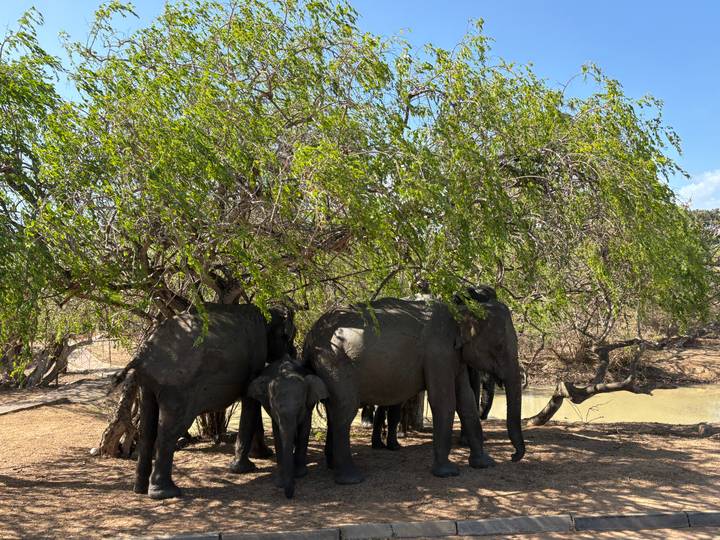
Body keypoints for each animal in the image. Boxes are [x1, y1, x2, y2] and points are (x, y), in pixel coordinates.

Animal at [111, 303, 296, 499]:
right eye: (289, 337)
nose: (293, 353)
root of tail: (143, 356)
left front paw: (262, 455)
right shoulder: (256, 353)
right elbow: (250, 402)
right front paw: (245, 468)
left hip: (147, 384)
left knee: (147, 430)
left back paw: (139, 489)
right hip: (177, 387)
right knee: (170, 430)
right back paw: (166, 493)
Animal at [247, 355, 328, 498]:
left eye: (300, 407)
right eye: (275, 408)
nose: (289, 494)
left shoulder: (308, 406)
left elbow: (304, 429)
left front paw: (300, 474)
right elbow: (278, 434)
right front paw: (280, 482)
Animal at [301, 286, 525, 484]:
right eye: (499, 346)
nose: (513, 456)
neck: (459, 308)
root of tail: (310, 336)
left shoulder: (454, 355)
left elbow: (466, 400)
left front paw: (485, 464)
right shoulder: (438, 352)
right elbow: (444, 401)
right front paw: (448, 473)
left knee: (333, 411)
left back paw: (332, 466)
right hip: (335, 364)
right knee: (344, 412)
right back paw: (351, 478)